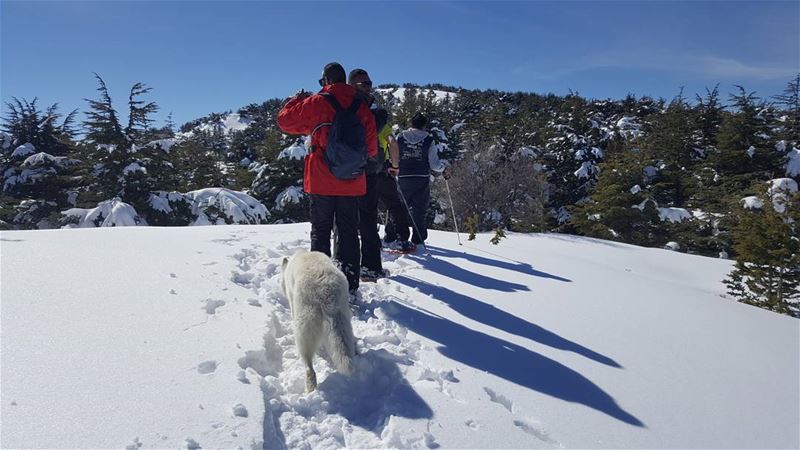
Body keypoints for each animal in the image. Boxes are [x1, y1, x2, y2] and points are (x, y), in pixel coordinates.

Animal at [282, 250, 356, 390]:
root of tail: (326, 292)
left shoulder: (291, 299)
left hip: (305, 327)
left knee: (309, 368)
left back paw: (309, 389)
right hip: (343, 318)